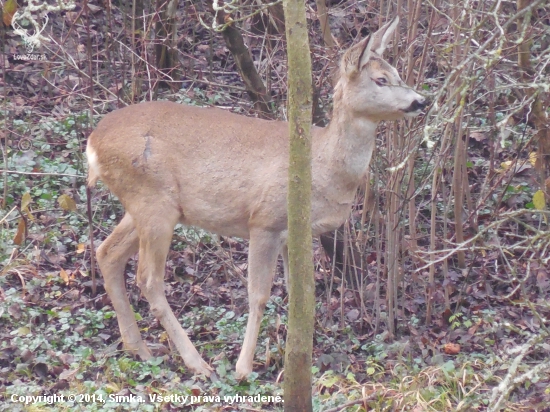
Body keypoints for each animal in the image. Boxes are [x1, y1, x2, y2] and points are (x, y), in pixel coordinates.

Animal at [87, 16, 432, 378]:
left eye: (398, 73)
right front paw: (244, 367)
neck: (323, 165)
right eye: (380, 79)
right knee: (148, 279)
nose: (421, 100)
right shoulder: (265, 221)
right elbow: (258, 295)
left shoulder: (294, 234)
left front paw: (295, 357)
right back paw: (197, 363)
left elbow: (299, 295)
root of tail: (93, 143)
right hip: (154, 202)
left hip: (144, 205)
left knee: (107, 253)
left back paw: (139, 349)